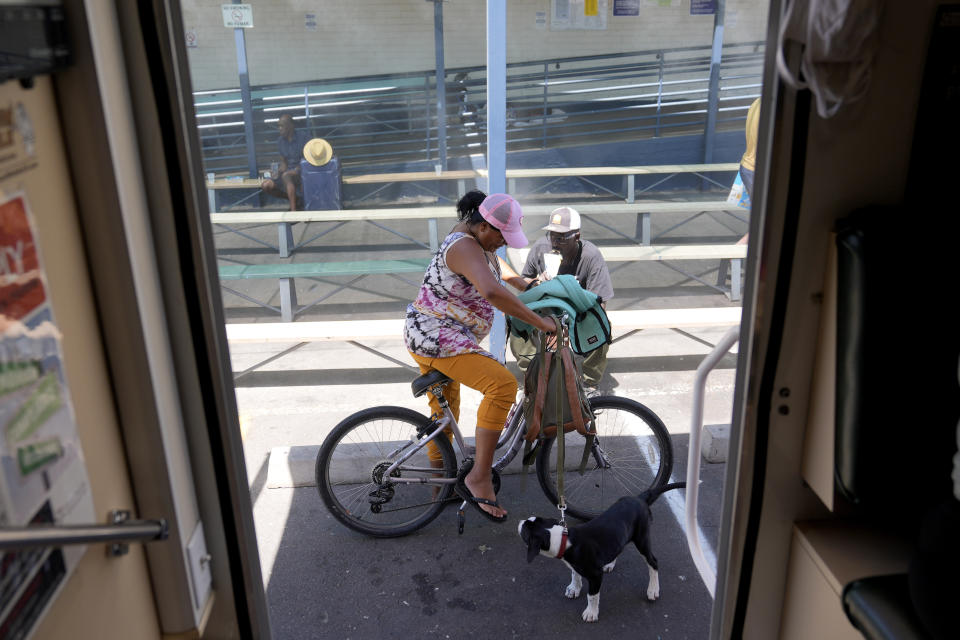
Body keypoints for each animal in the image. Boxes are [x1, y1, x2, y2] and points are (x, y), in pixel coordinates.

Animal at [520, 482, 688, 624]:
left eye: (525, 532)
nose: (520, 522)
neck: (564, 539)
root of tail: (639, 498)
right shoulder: (576, 564)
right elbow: (575, 573)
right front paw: (574, 588)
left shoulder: (595, 575)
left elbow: (592, 595)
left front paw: (591, 612)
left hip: (642, 538)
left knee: (653, 562)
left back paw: (653, 589)